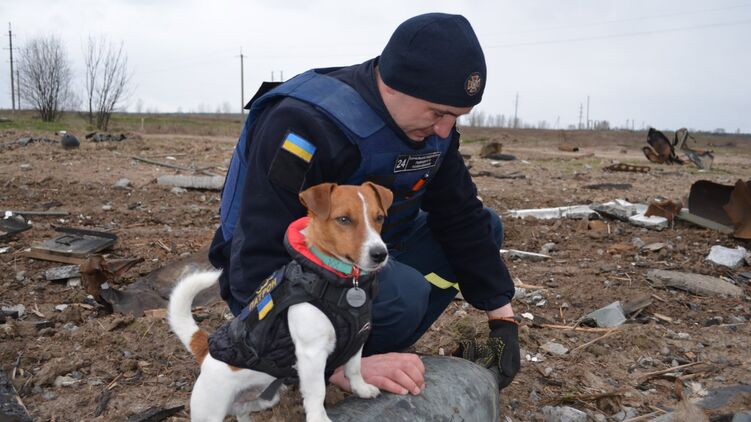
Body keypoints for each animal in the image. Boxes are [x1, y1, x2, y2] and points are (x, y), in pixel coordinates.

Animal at [169, 183, 394, 422]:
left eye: (379, 218)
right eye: (344, 219)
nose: (380, 254)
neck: (343, 282)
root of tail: (205, 349)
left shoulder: (358, 339)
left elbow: (354, 368)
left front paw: (361, 389)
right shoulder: (311, 354)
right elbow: (317, 391)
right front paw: (318, 417)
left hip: (265, 399)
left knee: (242, 411)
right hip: (210, 410)